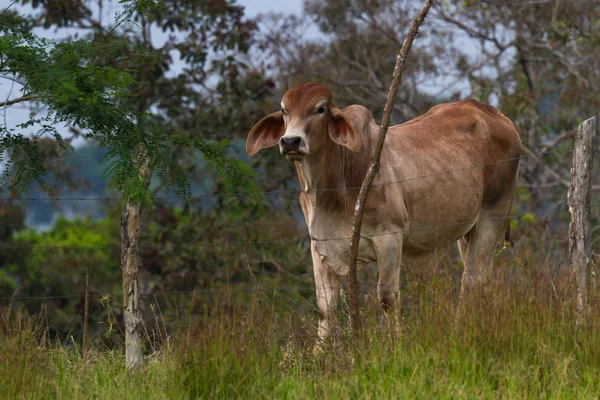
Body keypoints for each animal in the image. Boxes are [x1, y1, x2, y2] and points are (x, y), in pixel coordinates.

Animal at [246, 82, 524, 344]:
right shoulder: (319, 246)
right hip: (468, 232)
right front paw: (319, 355)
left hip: (492, 217)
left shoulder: (389, 239)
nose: (290, 141)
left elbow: (387, 299)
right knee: (479, 278)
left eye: (320, 109)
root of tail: (495, 114)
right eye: (284, 111)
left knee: (473, 281)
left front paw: (395, 344)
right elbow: (325, 309)